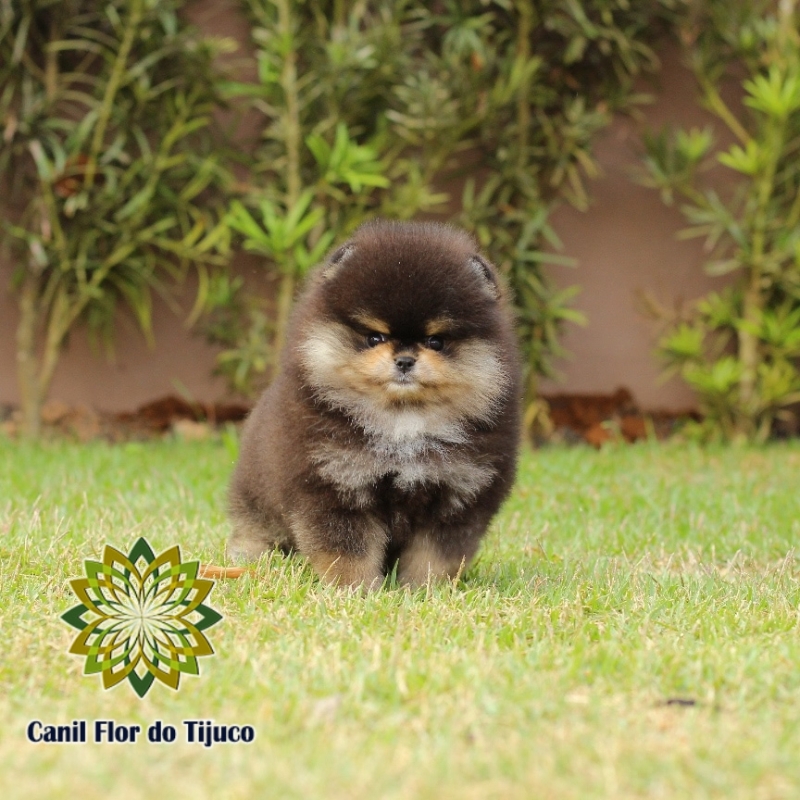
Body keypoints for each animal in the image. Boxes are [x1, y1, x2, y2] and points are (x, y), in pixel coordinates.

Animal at [228, 219, 520, 588]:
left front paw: (423, 591)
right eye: (374, 338)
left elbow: (435, 557)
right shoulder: (334, 483)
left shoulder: (458, 494)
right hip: (257, 495)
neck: (402, 421)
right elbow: (347, 550)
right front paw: (356, 589)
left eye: (436, 342)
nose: (406, 359)